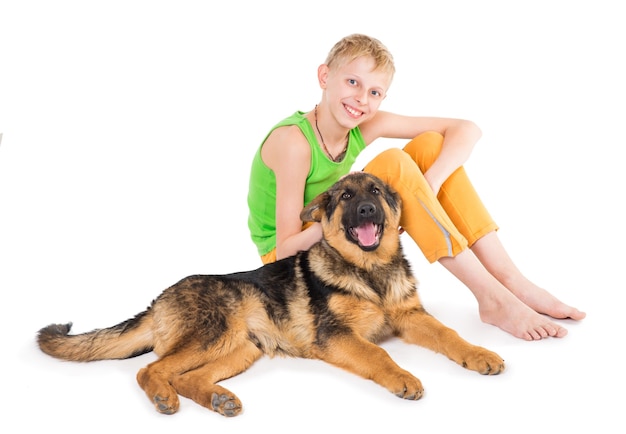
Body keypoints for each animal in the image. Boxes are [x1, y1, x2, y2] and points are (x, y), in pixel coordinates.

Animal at [36, 170, 504, 418]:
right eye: (346, 196)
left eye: (374, 192)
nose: (368, 210)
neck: (369, 272)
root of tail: (158, 300)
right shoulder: (335, 336)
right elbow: (377, 354)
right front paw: (403, 377)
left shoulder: (411, 317)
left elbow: (449, 335)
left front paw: (480, 354)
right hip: (215, 332)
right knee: (150, 370)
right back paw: (163, 397)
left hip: (242, 348)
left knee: (186, 377)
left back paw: (219, 399)